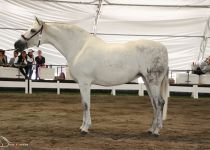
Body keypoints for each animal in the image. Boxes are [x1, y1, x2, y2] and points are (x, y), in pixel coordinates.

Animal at [14, 17, 169, 137]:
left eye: (32, 30)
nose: (17, 44)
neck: (79, 47)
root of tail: (163, 49)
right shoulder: (81, 84)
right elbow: (84, 104)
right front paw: (83, 126)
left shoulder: (84, 82)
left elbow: (86, 104)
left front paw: (85, 128)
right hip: (147, 81)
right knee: (154, 104)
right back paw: (150, 129)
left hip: (153, 82)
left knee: (160, 102)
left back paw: (156, 131)